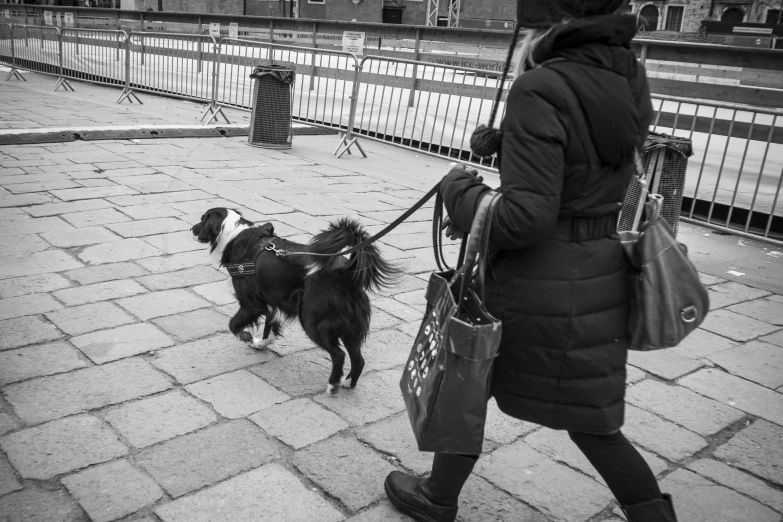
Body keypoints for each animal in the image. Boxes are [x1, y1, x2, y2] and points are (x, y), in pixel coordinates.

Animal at [191, 207, 398, 390]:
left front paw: (246, 336)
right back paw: (347, 383)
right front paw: (262, 343)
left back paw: (333, 385)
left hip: (312, 320)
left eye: (202, 220)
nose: (191, 229)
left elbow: (233, 325)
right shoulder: (270, 301)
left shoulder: (252, 303)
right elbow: (270, 325)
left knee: (339, 355)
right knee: (359, 359)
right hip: (350, 327)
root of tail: (346, 274)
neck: (233, 235)